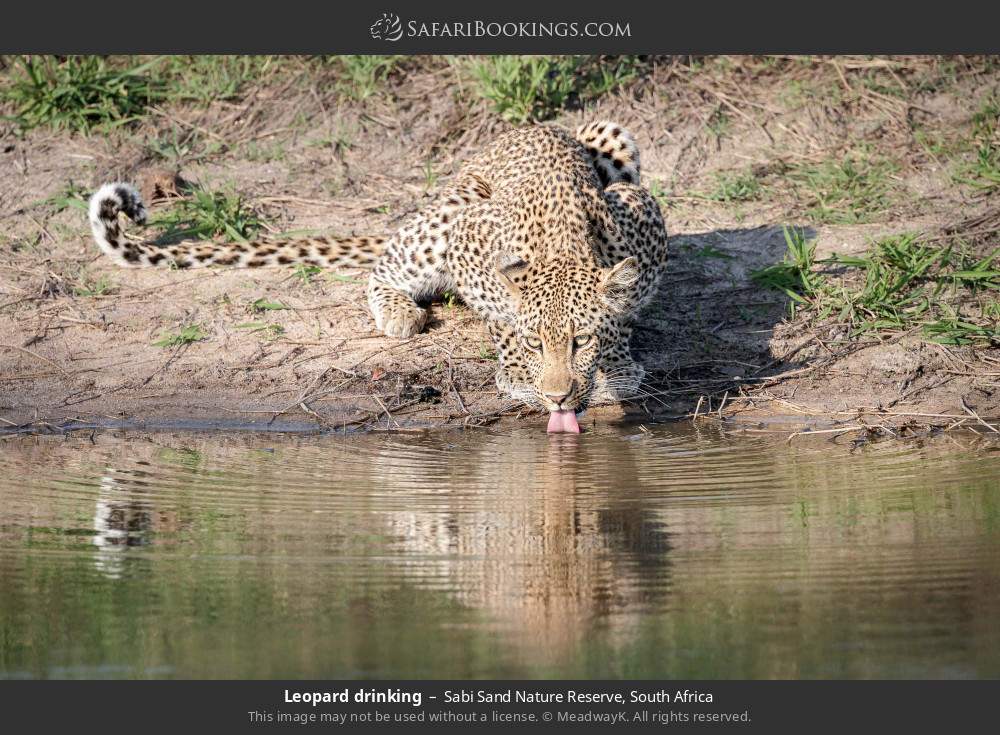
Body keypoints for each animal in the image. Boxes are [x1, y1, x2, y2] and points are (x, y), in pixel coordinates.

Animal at [88, 121, 668, 431]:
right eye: (533, 343)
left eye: (581, 340)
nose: (559, 399)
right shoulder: (469, 241)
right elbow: (499, 313)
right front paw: (518, 376)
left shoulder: (642, 214)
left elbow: (623, 309)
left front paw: (617, 365)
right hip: (450, 210)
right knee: (382, 266)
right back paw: (399, 313)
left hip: (610, 136)